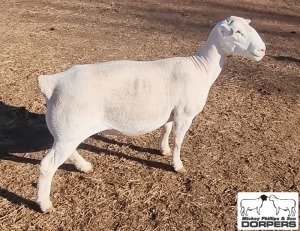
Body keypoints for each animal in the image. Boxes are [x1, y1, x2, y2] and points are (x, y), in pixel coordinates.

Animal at [37, 15, 264, 212]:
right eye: (237, 32)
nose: (262, 49)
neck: (202, 68)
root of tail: (52, 82)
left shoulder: (171, 111)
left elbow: (166, 130)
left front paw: (163, 150)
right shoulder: (185, 113)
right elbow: (179, 140)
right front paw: (177, 165)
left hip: (68, 132)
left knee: (66, 151)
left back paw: (84, 166)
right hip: (69, 128)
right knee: (47, 166)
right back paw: (44, 204)